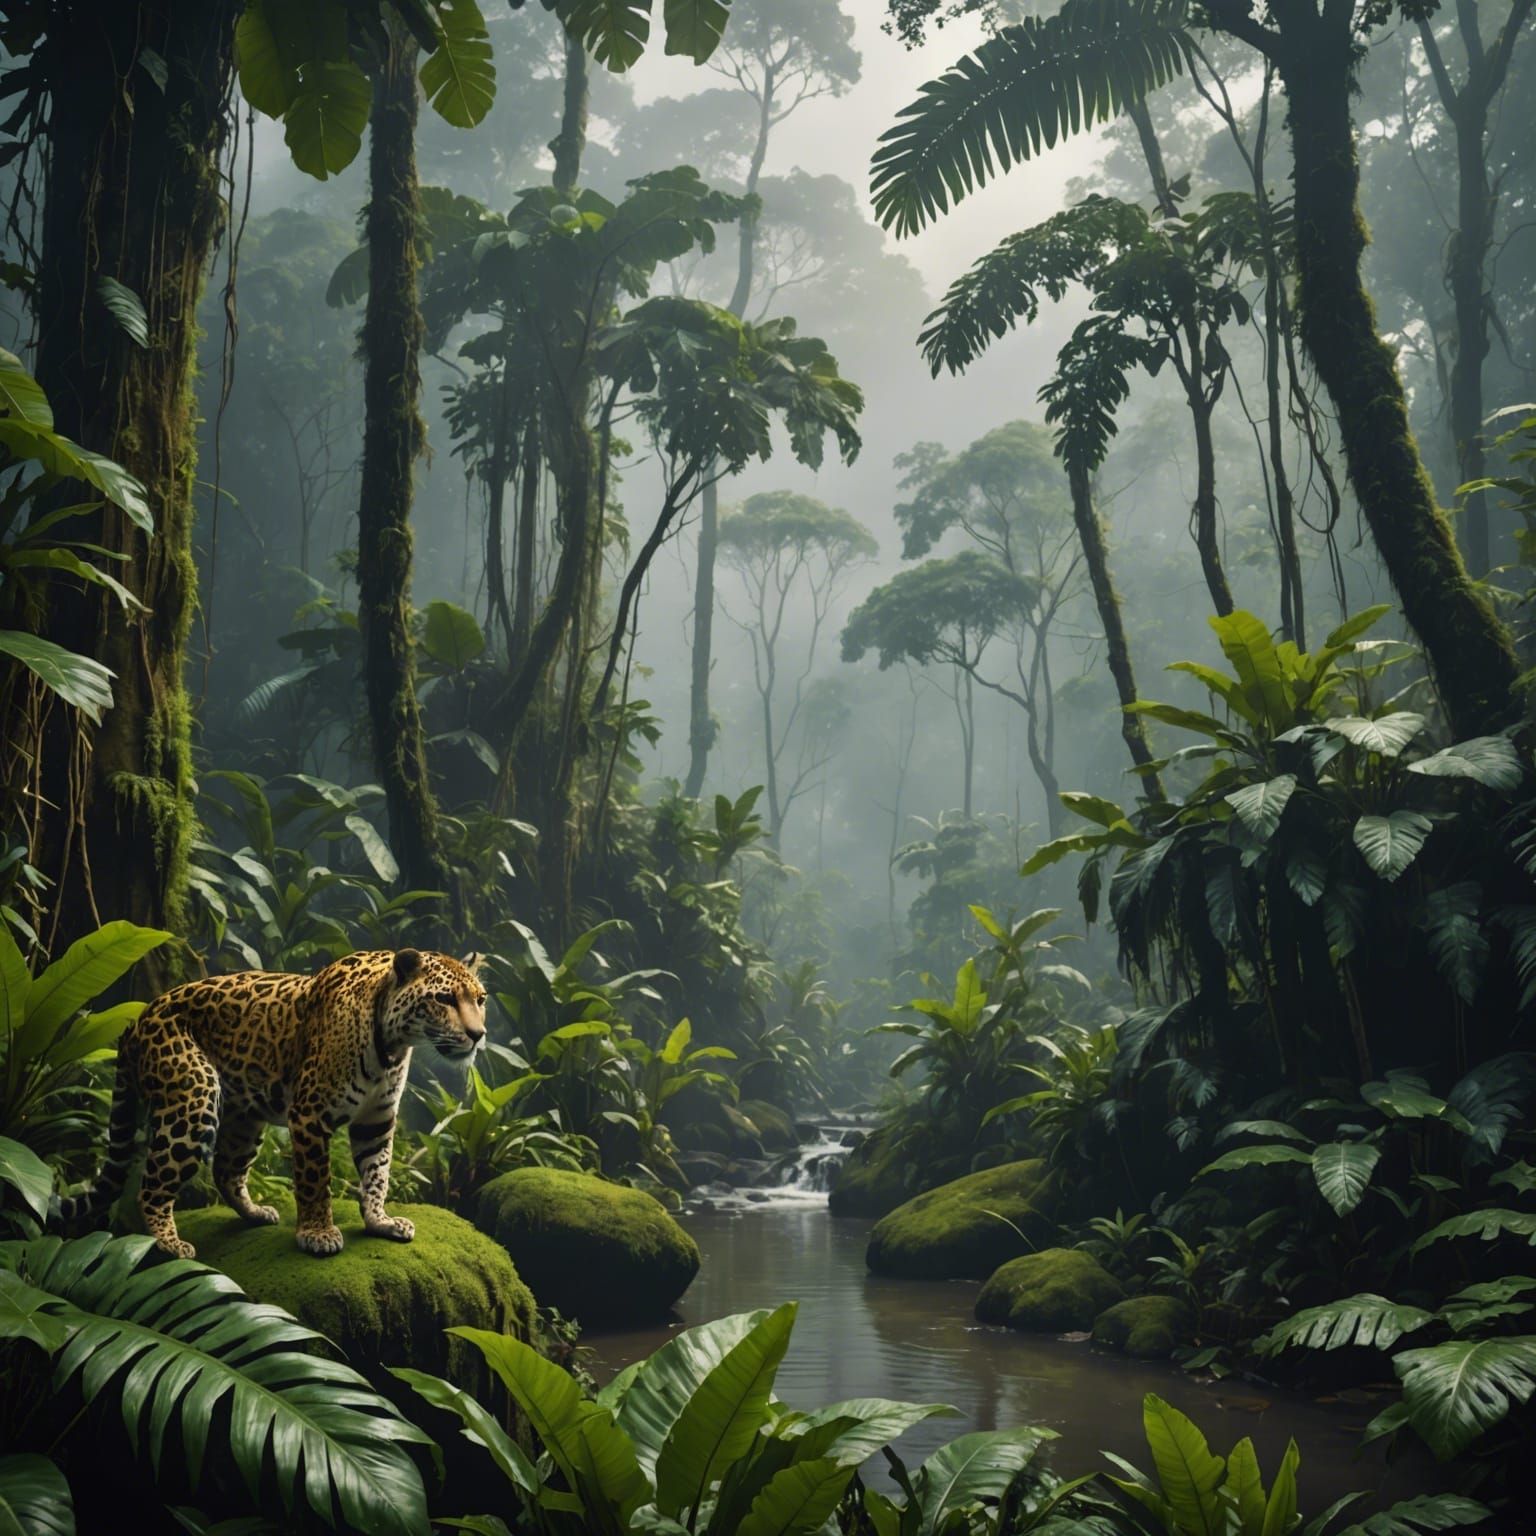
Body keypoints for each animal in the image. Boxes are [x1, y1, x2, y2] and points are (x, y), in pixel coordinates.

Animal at [58, 947, 487, 1259]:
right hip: (193, 1100)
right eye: (444, 999)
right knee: (151, 1187)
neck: (393, 1046)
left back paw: (256, 1213)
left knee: (226, 1171)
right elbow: (315, 1181)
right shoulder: (310, 1114)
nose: (478, 1034)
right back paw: (169, 1244)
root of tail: (140, 1017)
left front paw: (379, 1220)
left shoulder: (376, 1120)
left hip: (244, 1117)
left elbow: (377, 1173)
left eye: (480, 999)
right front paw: (318, 1233)